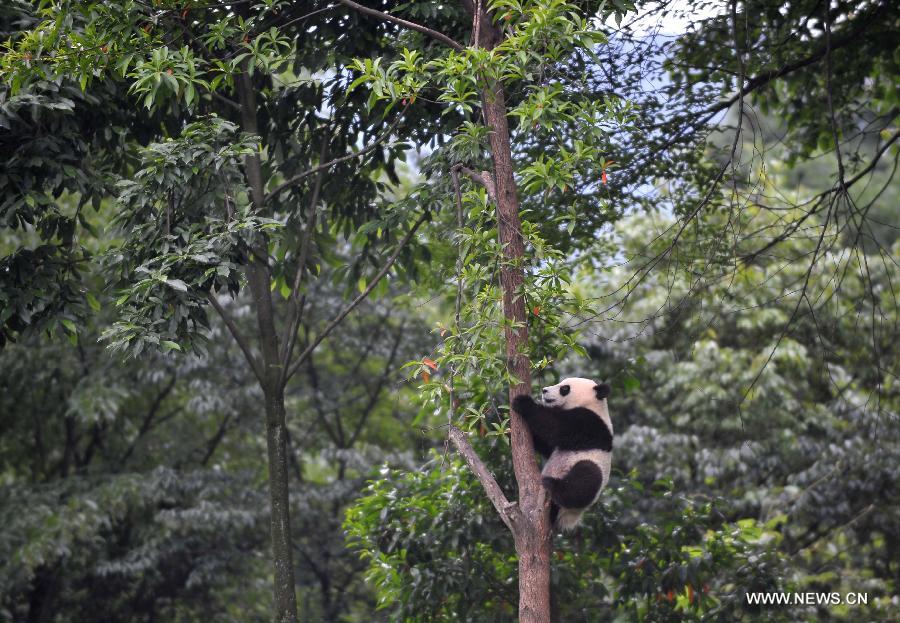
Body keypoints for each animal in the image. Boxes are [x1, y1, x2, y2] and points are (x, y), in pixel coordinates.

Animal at [512, 378, 612, 528]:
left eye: (564, 388)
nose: (544, 390)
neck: (594, 405)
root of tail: (566, 518)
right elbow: (549, 445)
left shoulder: (590, 424)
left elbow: (557, 428)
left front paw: (523, 403)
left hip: (590, 470)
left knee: (585, 480)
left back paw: (552, 485)